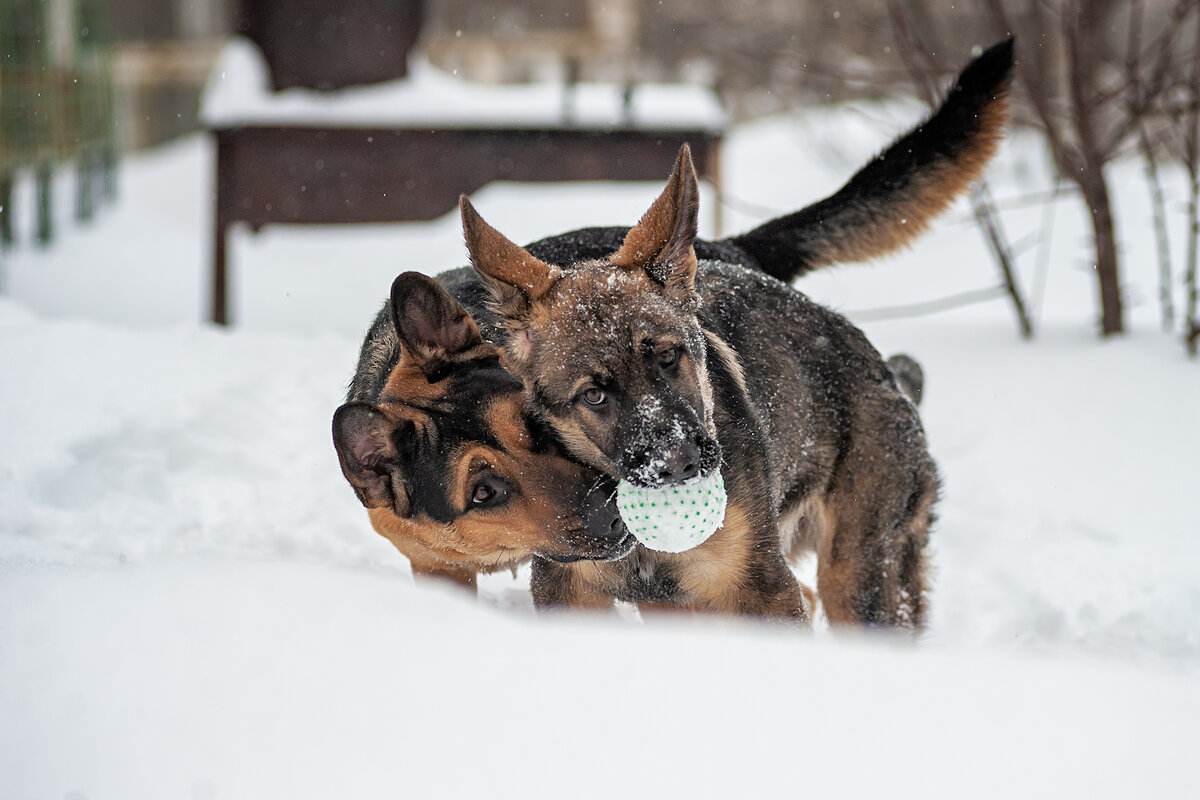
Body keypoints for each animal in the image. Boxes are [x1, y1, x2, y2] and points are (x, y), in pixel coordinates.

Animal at [331, 37, 1012, 618]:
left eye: (672, 358)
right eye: (592, 396)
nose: (682, 463)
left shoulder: (756, 588)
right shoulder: (545, 586)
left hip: (858, 576)